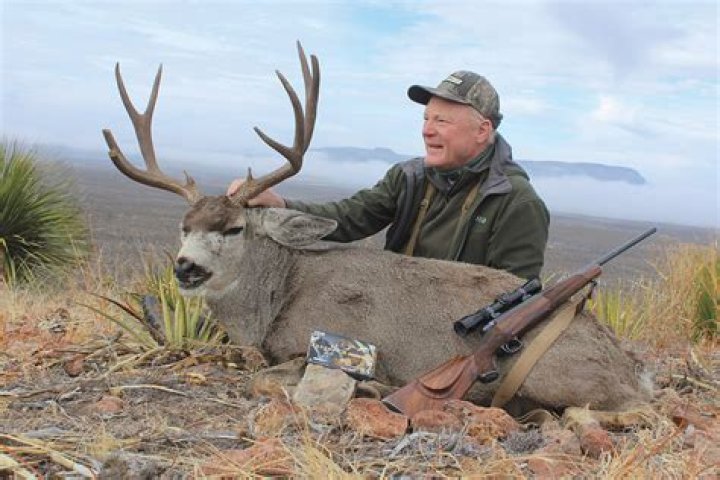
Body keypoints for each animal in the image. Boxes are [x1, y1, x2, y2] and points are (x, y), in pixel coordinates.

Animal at [102, 42, 653, 417]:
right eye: (183, 226)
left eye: (235, 228)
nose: (186, 268)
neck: (276, 297)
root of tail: (627, 369)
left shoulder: (318, 342)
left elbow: (265, 379)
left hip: (554, 373)